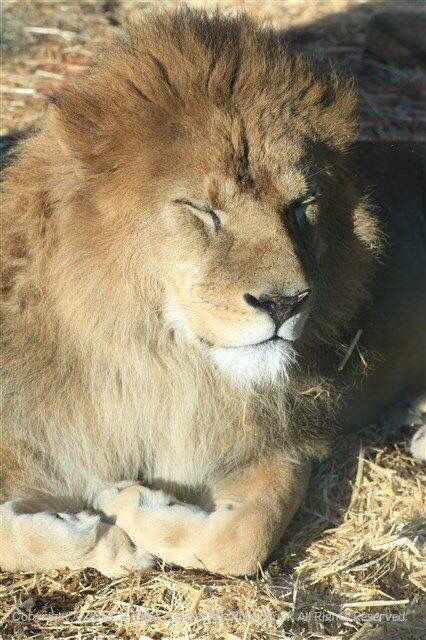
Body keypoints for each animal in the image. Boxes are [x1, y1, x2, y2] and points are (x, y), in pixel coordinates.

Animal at [0, 7, 426, 576]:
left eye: (301, 204)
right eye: (201, 210)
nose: (284, 303)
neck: (159, 365)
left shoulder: (279, 440)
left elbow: (243, 537)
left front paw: (127, 505)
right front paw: (103, 539)